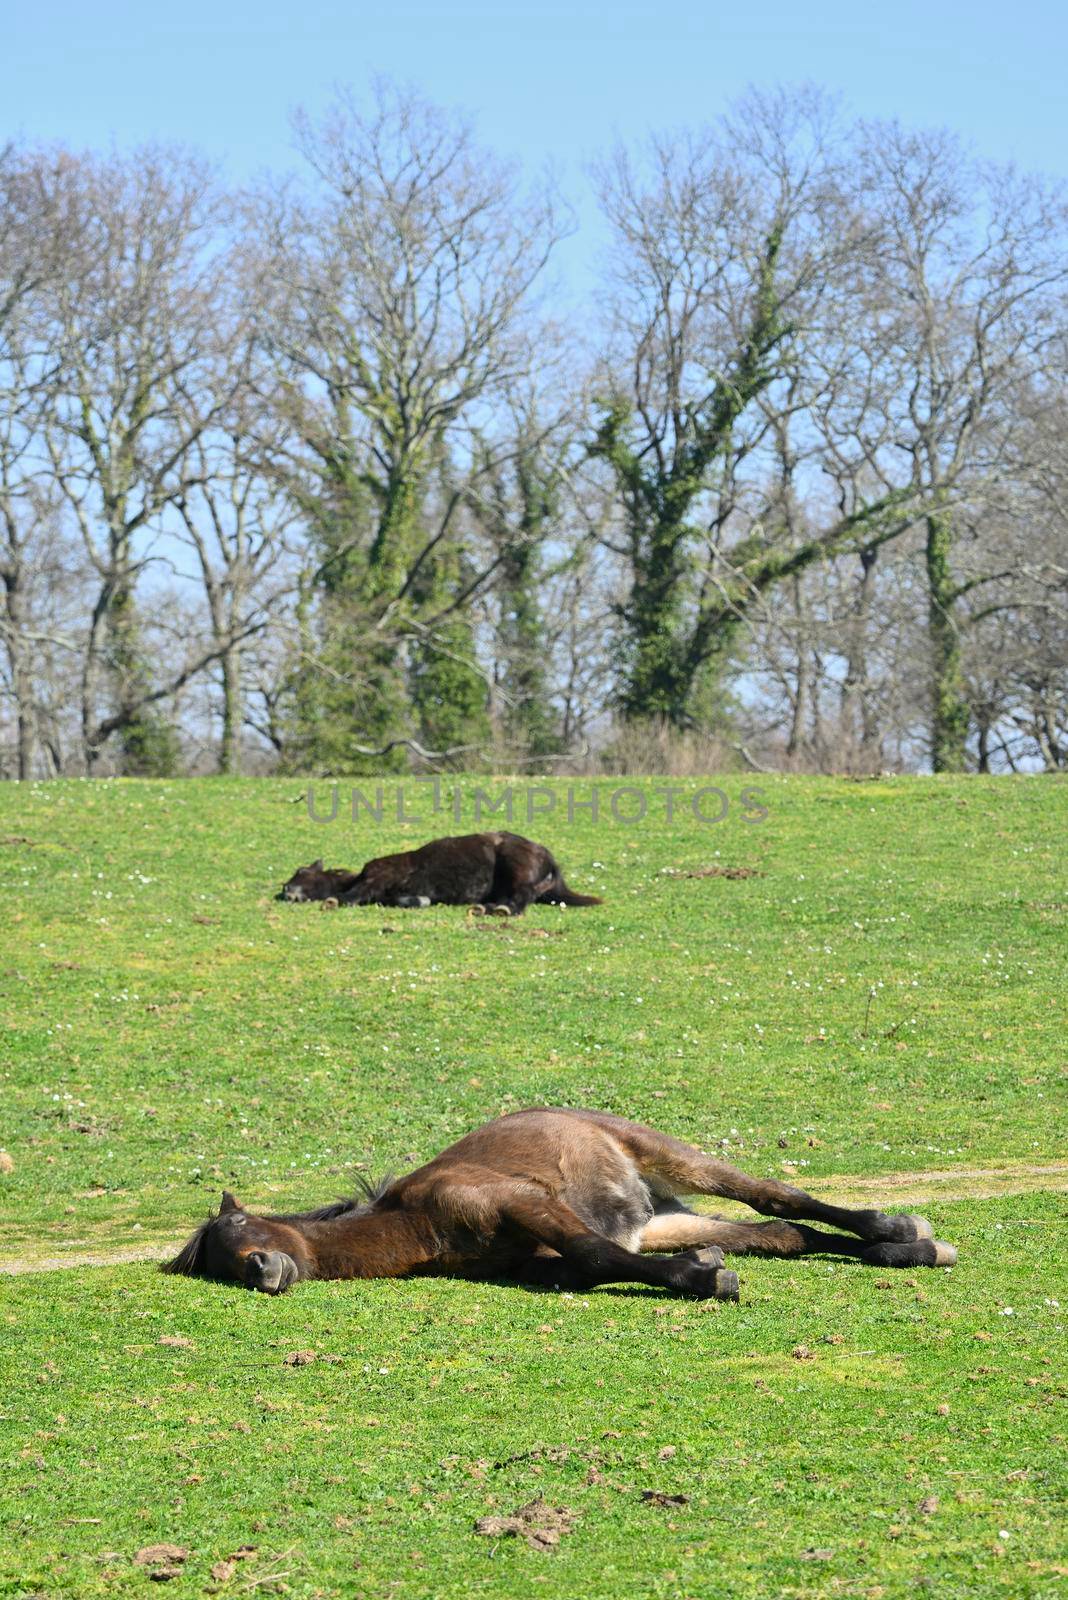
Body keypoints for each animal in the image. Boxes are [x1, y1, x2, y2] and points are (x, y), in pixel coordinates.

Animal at [167, 1107, 959, 1305]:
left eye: (236, 1225)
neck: (415, 1223)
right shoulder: (538, 1254)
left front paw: (705, 1279)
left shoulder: (522, 1202)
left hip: (667, 1154)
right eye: (217, 1266)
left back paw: (900, 1230)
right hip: (664, 1217)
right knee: (784, 1231)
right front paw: (705, 1268)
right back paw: (906, 1249)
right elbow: (580, 1265)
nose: (261, 1269)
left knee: (779, 1196)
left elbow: (593, 1254)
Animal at [279, 832, 604, 921]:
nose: (284, 890)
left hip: (516, 868)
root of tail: (547, 856)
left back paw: (498, 909)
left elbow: (350, 896)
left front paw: (333, 900)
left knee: (521, 899)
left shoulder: (377, 877)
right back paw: (485, 907)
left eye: (301, 871)